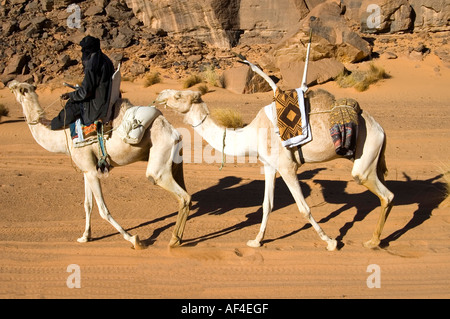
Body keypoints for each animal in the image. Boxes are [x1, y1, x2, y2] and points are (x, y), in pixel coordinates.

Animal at [9, 81, 190, 251]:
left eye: (16, 88)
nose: (9, 83)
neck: (62, 137)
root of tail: (174, 133)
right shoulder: (87, 170)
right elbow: (87, 205)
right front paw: (85, 236)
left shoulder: (90, 170)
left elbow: (103, 210)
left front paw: (134, 240)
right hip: (174, 161)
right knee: (184, 194)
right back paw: (177, 239)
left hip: (159, 163)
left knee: (180, 194)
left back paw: (174, 241)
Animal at [157, 89, 394, 251]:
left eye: (178, 95)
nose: (159, 95)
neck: (251, 134)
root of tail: (381, 129)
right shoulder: (269, 165)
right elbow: (267, 205)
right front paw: (255, 241)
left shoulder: (287, 167)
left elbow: (303, 208)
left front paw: (330, 242)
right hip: (374, 159)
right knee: (386, 193)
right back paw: (376, 240)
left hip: (366, 154)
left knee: (385, 194)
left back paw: (373, 241)